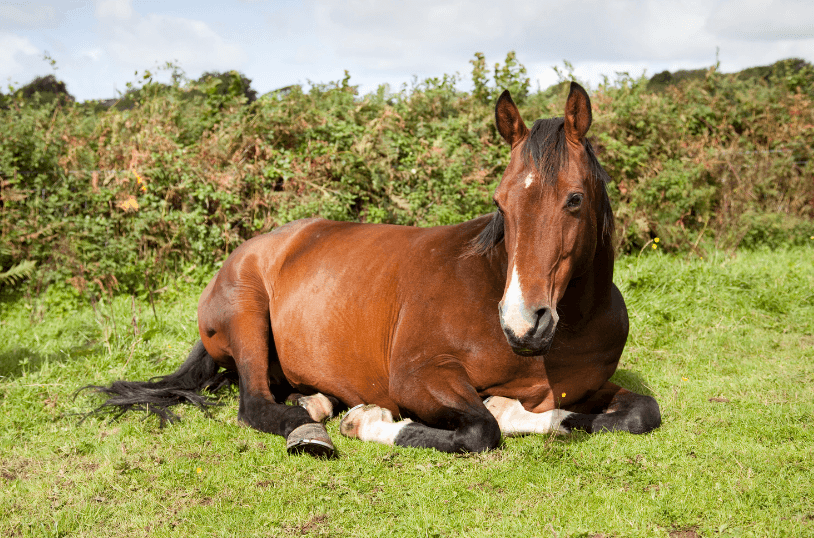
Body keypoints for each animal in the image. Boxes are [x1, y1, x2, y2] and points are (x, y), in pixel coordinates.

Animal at [84, 82, 660, 457]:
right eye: (501, 202)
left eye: (574, 200)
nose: (522, 322)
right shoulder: (417, 377)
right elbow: (480, 431)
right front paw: (370, 422)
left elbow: (639, 414)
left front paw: (515, 409)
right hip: (246, 316)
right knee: (256, 404)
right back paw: (310, 429)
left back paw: (315, 401)